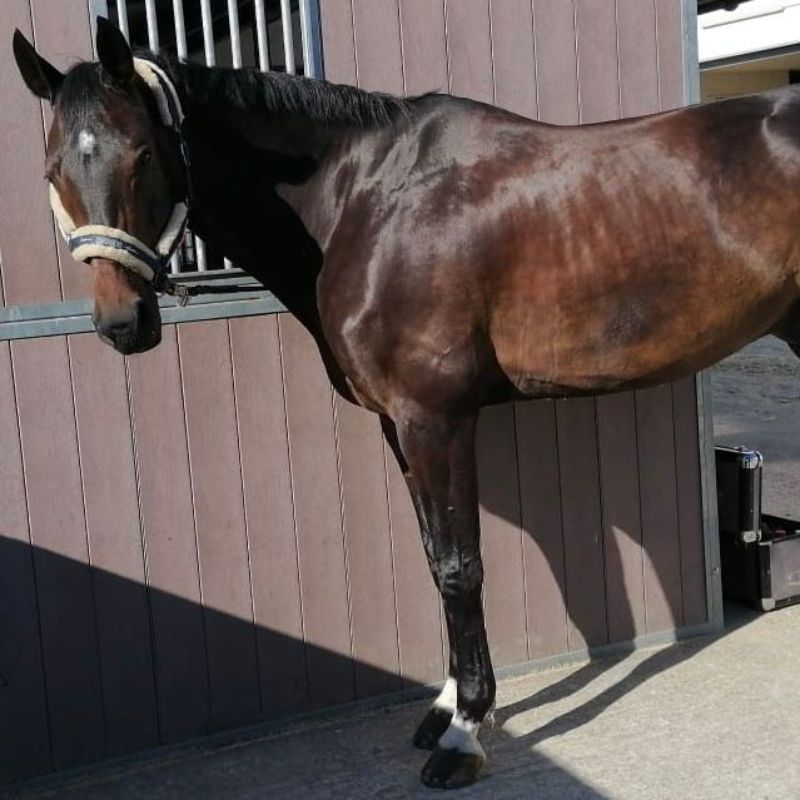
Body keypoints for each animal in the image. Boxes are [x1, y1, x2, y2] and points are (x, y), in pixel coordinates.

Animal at [12, 17, 800, 789]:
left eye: (143, 154)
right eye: (52, 170)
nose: (122, 322)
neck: (366, 200)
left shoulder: (435, 419)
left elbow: (458, 566)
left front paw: (465, 733)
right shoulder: (401, 425)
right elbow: (432, 557)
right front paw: (447, 706)